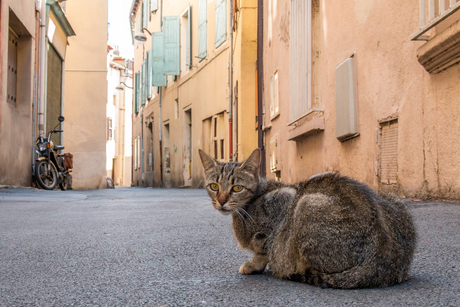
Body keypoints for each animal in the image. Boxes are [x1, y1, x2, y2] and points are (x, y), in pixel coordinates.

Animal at [198, 149, 416, 288]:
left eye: (237, 188)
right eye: (214, 186)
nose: (222, 201)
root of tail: (384, 258)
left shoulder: (285, 201)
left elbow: (263, 249)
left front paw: (254, 266)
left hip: (305, 204)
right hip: (396, 200)